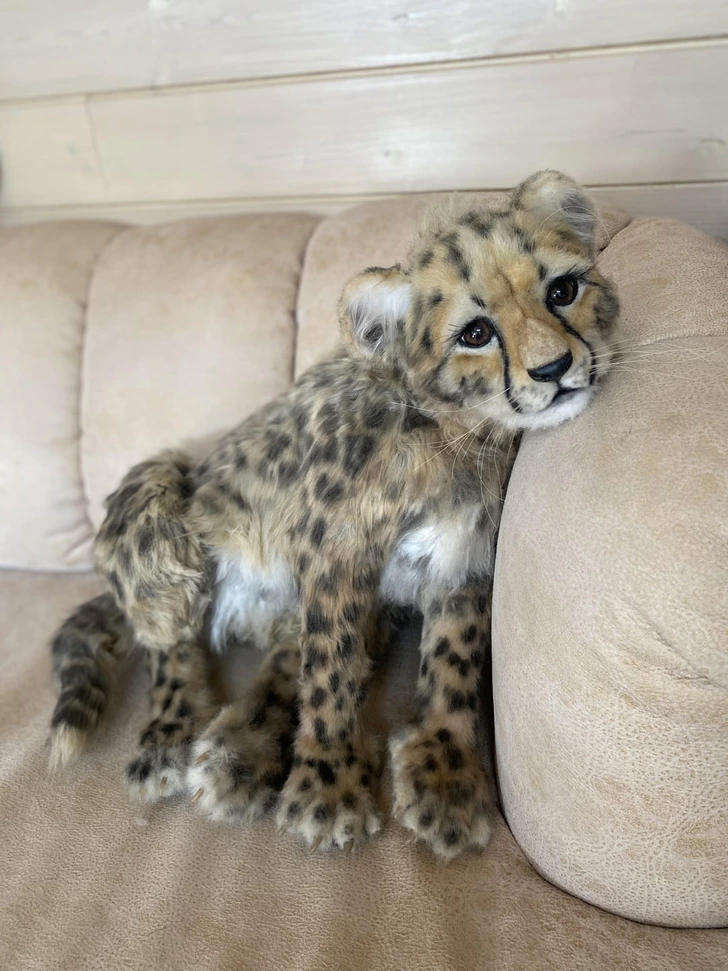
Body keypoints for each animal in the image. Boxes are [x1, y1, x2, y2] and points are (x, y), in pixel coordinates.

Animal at [48, 170, 619, 861]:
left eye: (563, 291)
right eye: (475, 333)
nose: (554, 369)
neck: (452, 430)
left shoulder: (461, 557)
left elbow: (453, 661)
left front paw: (446, 775)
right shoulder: (332, 551)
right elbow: (331, 667)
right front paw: (327, 784)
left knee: (276, 663)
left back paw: (239, 752)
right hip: (165, 494)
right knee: (170, 645)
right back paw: (170, 739)